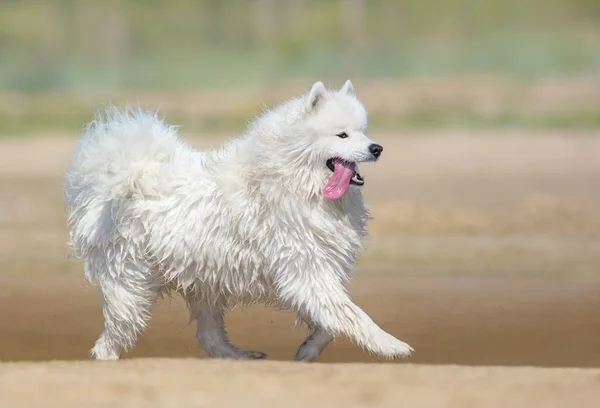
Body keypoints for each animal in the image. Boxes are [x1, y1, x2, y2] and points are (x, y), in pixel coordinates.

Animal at [64, 79, 412, 360]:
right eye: (342, 134)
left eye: (364, 131)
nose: (377, 148)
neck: (293, 181)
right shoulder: (304, 270)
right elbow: (353, 315)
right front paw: (392, 346)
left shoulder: (310, 274)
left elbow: (332, 320)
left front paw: (308, 350)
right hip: (131, 285)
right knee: (113, 337)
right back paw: (108, 358)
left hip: (204, 283)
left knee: (208, 335)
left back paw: (239, 355)